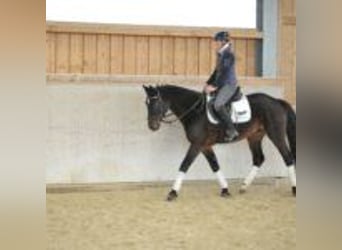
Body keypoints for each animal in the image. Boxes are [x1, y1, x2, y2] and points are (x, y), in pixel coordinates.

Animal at [143, 84, 296, 201]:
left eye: (156, 102)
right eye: (147, 103)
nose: (152, 126)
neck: (195, 112)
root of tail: (276, 101)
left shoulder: (197, 145)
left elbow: (184, 165)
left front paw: (172, 192)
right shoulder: (205, 146)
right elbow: (215, 165)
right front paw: (225, 190)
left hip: (275, 135)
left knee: (288, 158)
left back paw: (294, 189)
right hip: (254, 137)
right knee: (259, 158)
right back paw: (244, 186)